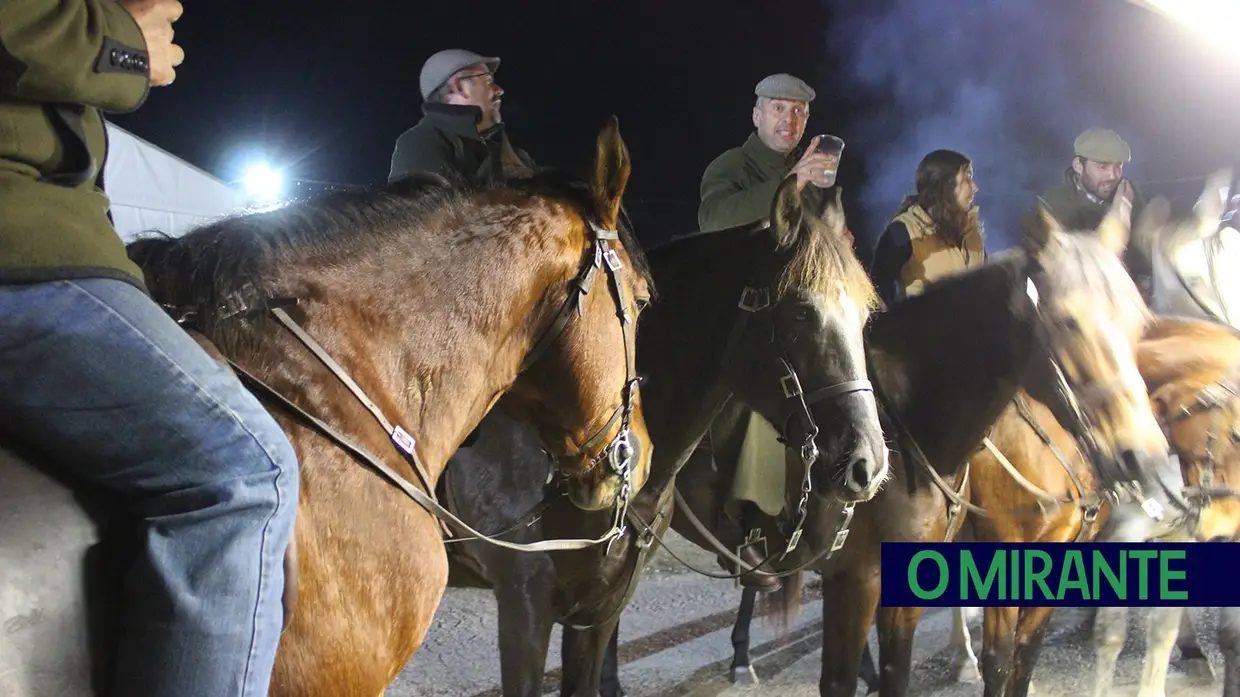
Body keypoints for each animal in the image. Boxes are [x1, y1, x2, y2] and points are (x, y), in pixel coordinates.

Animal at [649, 195, 1170, 694]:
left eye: (1139, 319)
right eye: (1067, 322)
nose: (1143, 459)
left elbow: (1002, 668)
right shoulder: (869, 577)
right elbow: (991, 664)